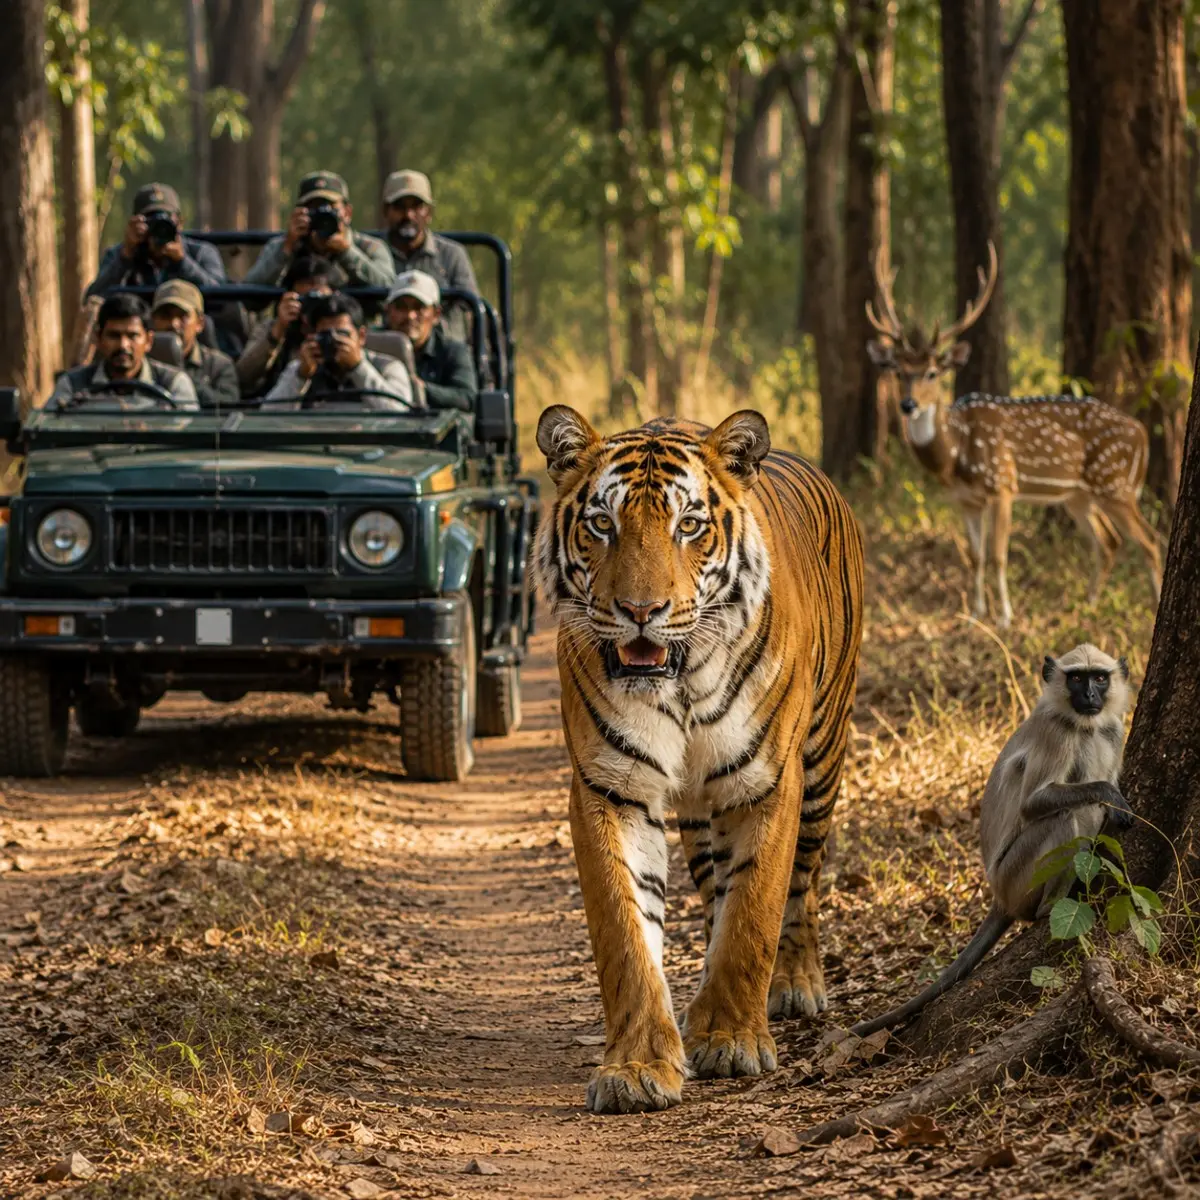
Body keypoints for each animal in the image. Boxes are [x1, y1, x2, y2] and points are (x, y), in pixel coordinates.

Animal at [534, 405, 865, 1115]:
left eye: (688, 525)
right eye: (602, 524)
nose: (640, 611)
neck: (678, 683)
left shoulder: (767, 781)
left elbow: (755, 911)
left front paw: (733, 1040)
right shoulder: (612, 788)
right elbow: (626, 933)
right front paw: (637, 1068)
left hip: (823, 757)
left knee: (804, 883)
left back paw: (794, 983)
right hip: (697, 811)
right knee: (715, 888)